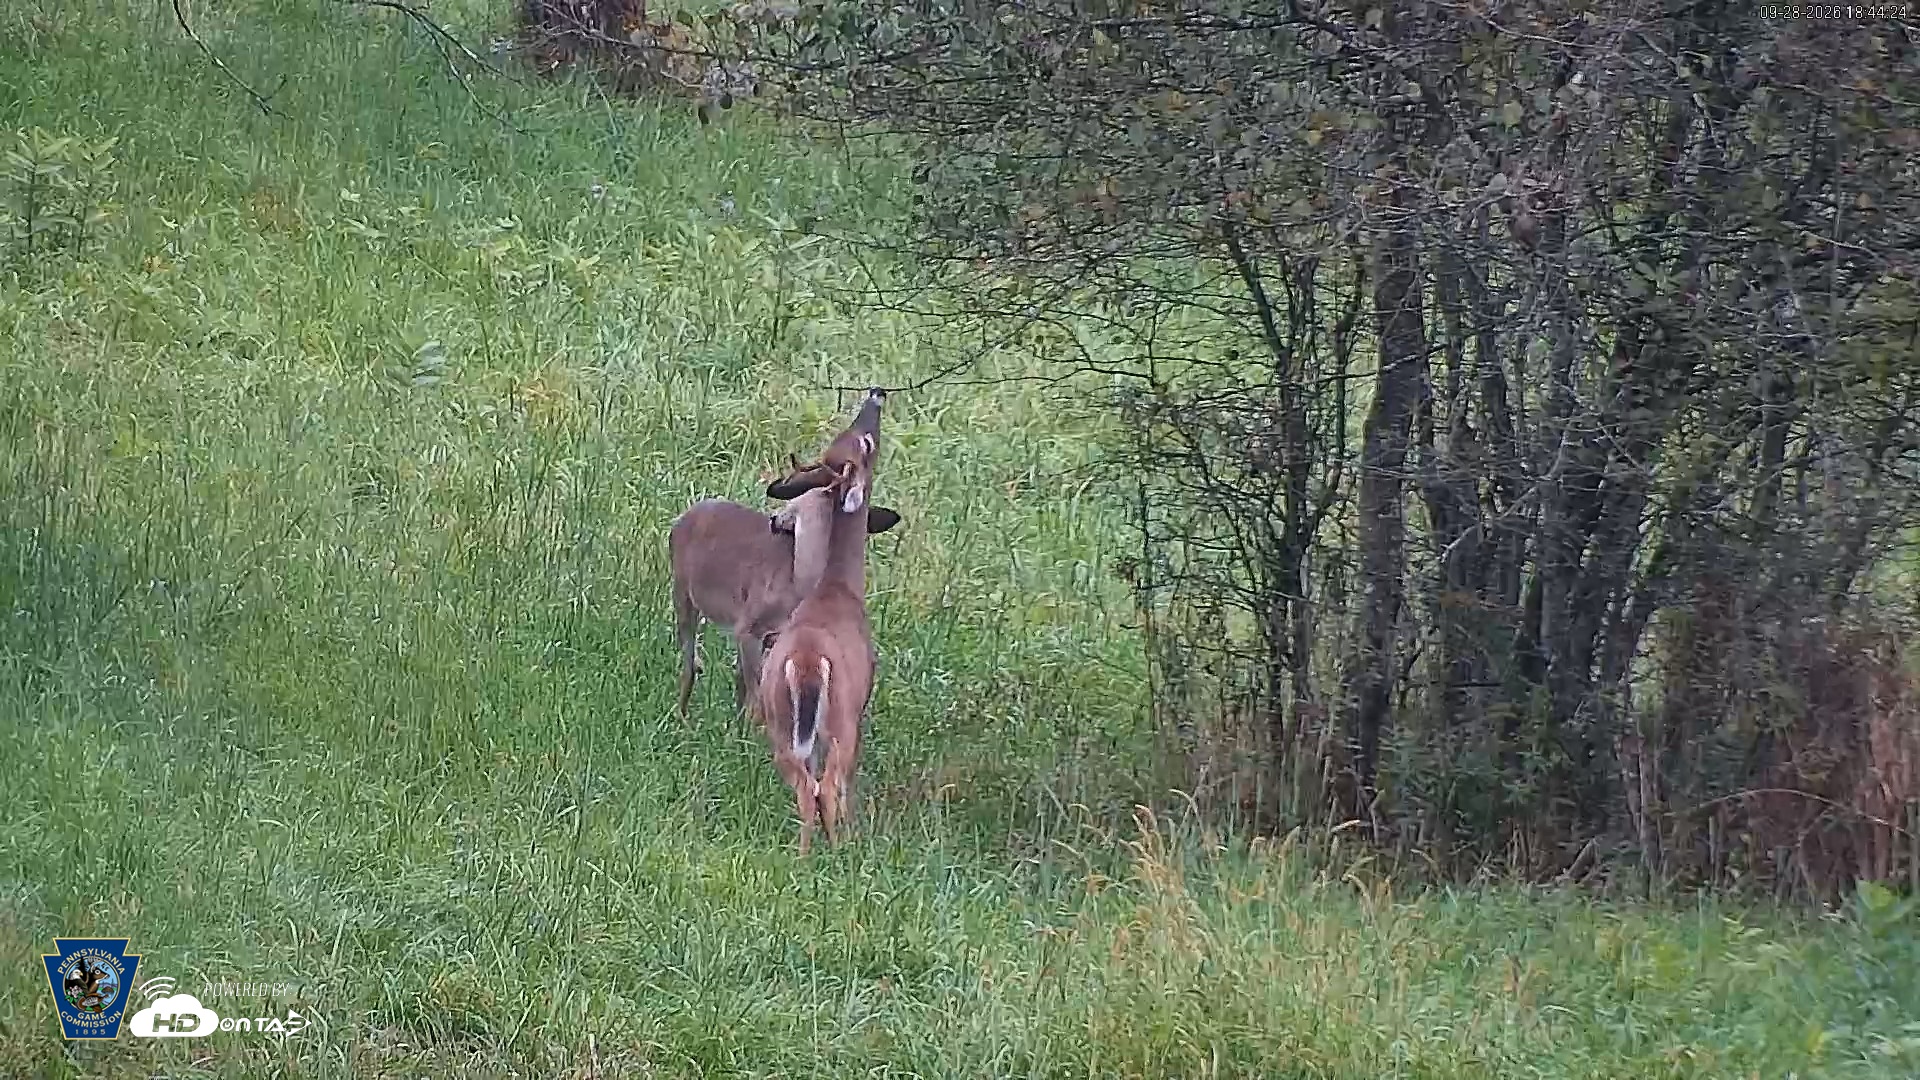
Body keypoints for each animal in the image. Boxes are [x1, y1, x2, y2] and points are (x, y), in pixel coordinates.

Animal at [669, 495, 901, 723]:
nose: (775, 519)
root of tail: (684, 516)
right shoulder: (748, 627)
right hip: (682, 591)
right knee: (689, 660)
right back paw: (682, 718)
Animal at [756, 388, 887, 854]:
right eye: (866, 442)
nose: (877, 392)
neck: (839, 587)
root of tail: (807, 661)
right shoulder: (860, 707)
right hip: (840, 722)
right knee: (825, 787)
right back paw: (837, 853)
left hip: (780, 723)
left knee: (804, 789)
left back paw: (803, 857)